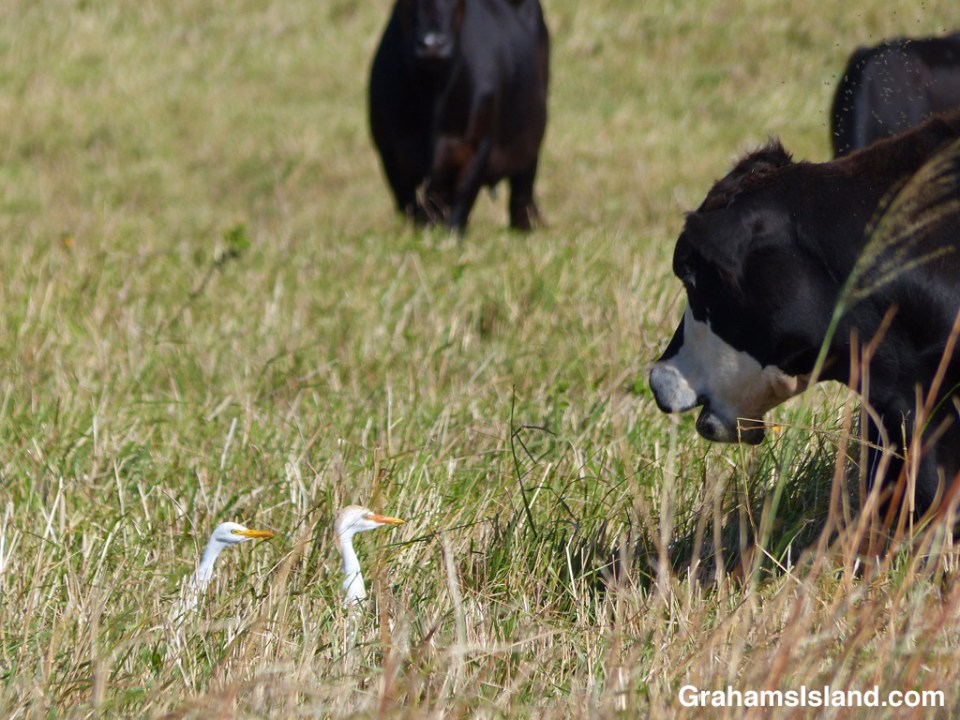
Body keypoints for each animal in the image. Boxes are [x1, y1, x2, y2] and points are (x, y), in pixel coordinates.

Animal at [368, 0, 549, 233]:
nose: (432, 44)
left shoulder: (477, 146)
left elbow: (460, 208)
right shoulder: (389, 150)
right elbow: (411, 207)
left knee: (521, 194)